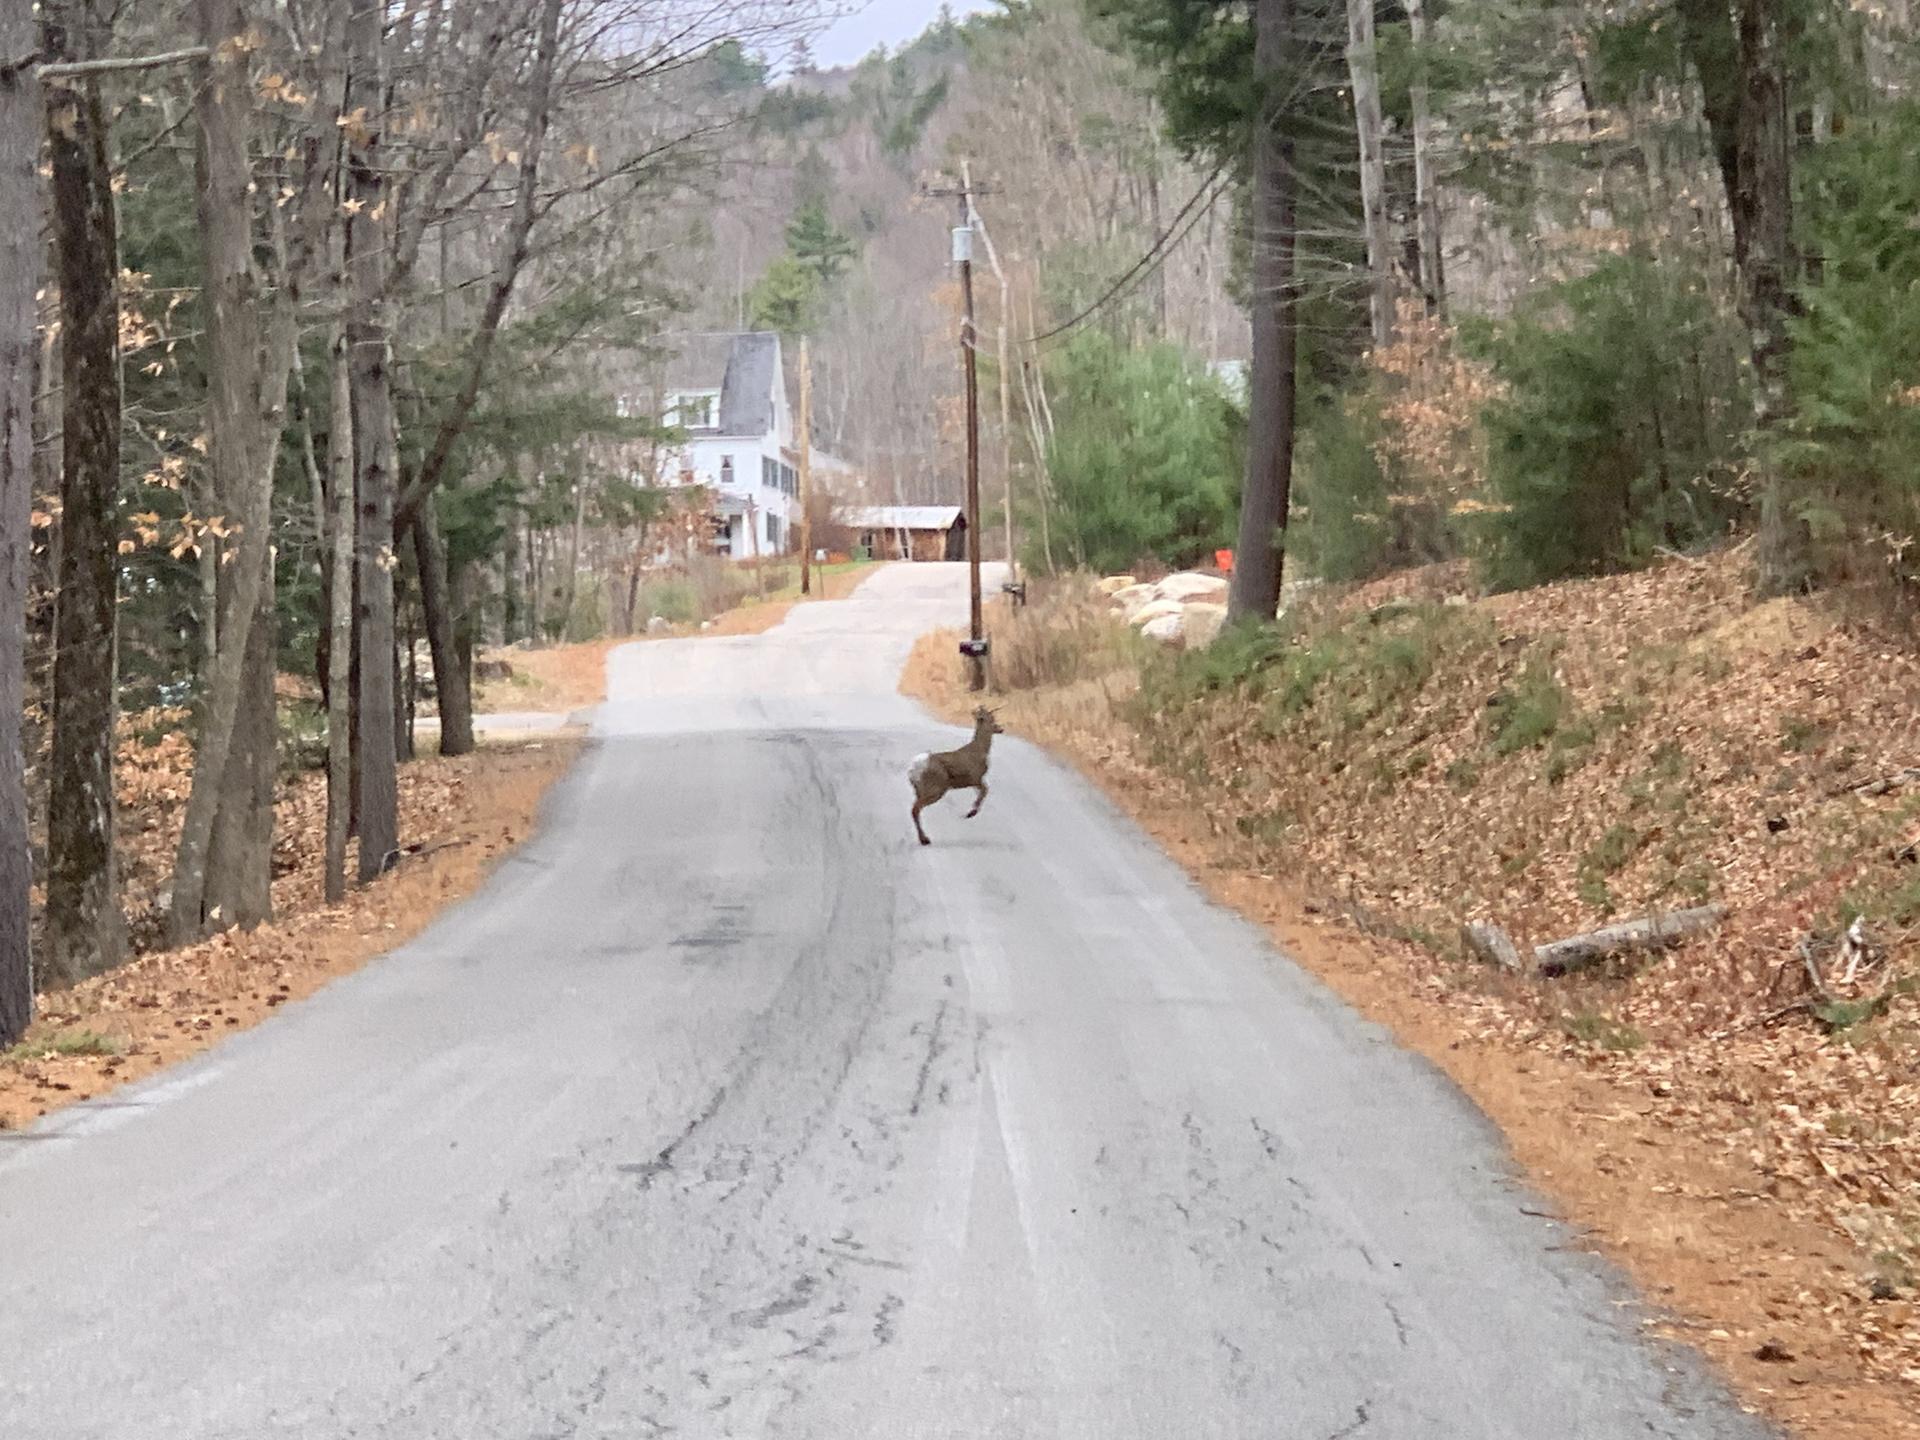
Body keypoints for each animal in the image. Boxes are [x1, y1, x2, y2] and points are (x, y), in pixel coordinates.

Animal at [909, 706, 1004, 846]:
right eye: (991, 719)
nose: (1000, 728)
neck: (980, 751)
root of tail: (915, 767)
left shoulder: (975, 781)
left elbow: (982, 791)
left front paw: (972, 811)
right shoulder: (974, 777)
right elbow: (985, 790)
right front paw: (971, 813)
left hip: (920, 789)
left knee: (916, 809)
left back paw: (923, 838)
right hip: (935, 787)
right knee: (915, 809)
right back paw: (924, 840)